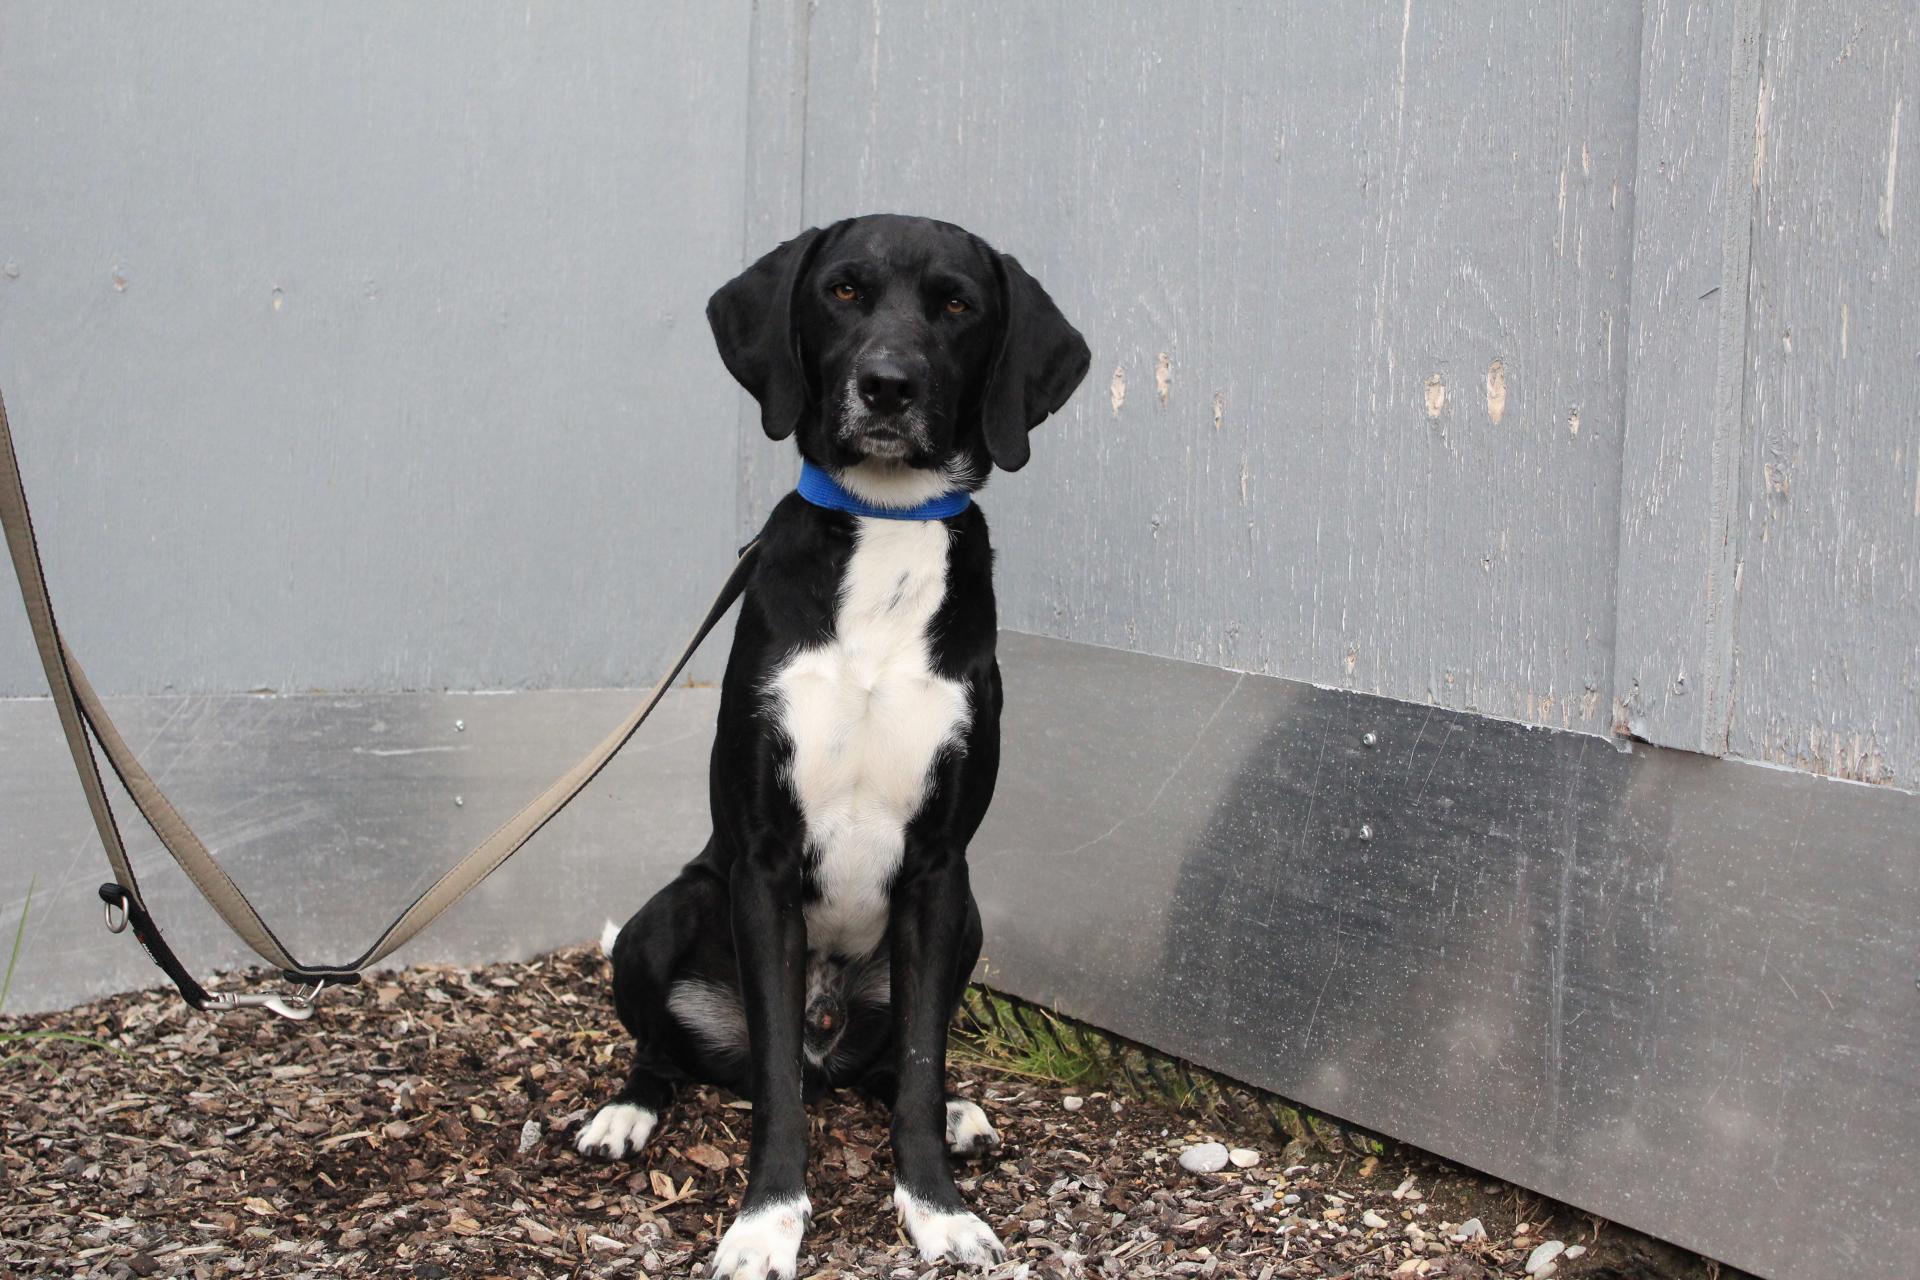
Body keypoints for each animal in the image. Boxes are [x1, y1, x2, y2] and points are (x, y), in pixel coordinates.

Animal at [568, 214, 1090, 1274]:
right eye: (842, 292)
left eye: (957, 304)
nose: (887, 385)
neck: (884, 530)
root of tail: (829, 1032)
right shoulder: (762, 867)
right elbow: (774, 1087)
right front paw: (766, 1223)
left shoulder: (939, 871)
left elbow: (924, 1060)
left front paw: (938, 1209)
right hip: (665, 913)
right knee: (668, 1050)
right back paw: (626, 1112)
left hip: (969, 924)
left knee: (892, 1064)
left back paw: (958, 1113)